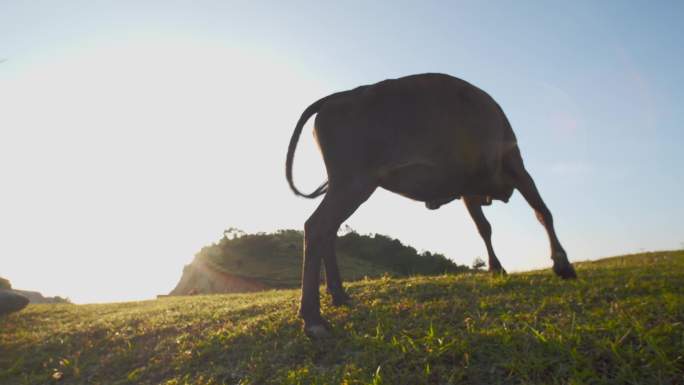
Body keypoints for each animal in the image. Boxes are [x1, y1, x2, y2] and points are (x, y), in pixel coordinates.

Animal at [286, 73, 576, 338]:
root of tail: (336, 97)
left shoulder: (468, 191)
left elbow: (484, 228)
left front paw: (497, 268)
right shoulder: (516, 165)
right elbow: (543, 212)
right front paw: (563, 265)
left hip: (346, 187)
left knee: (328, 233)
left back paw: (339, 296)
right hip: (353, 184)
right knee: (317, 227)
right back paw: (313, 318)